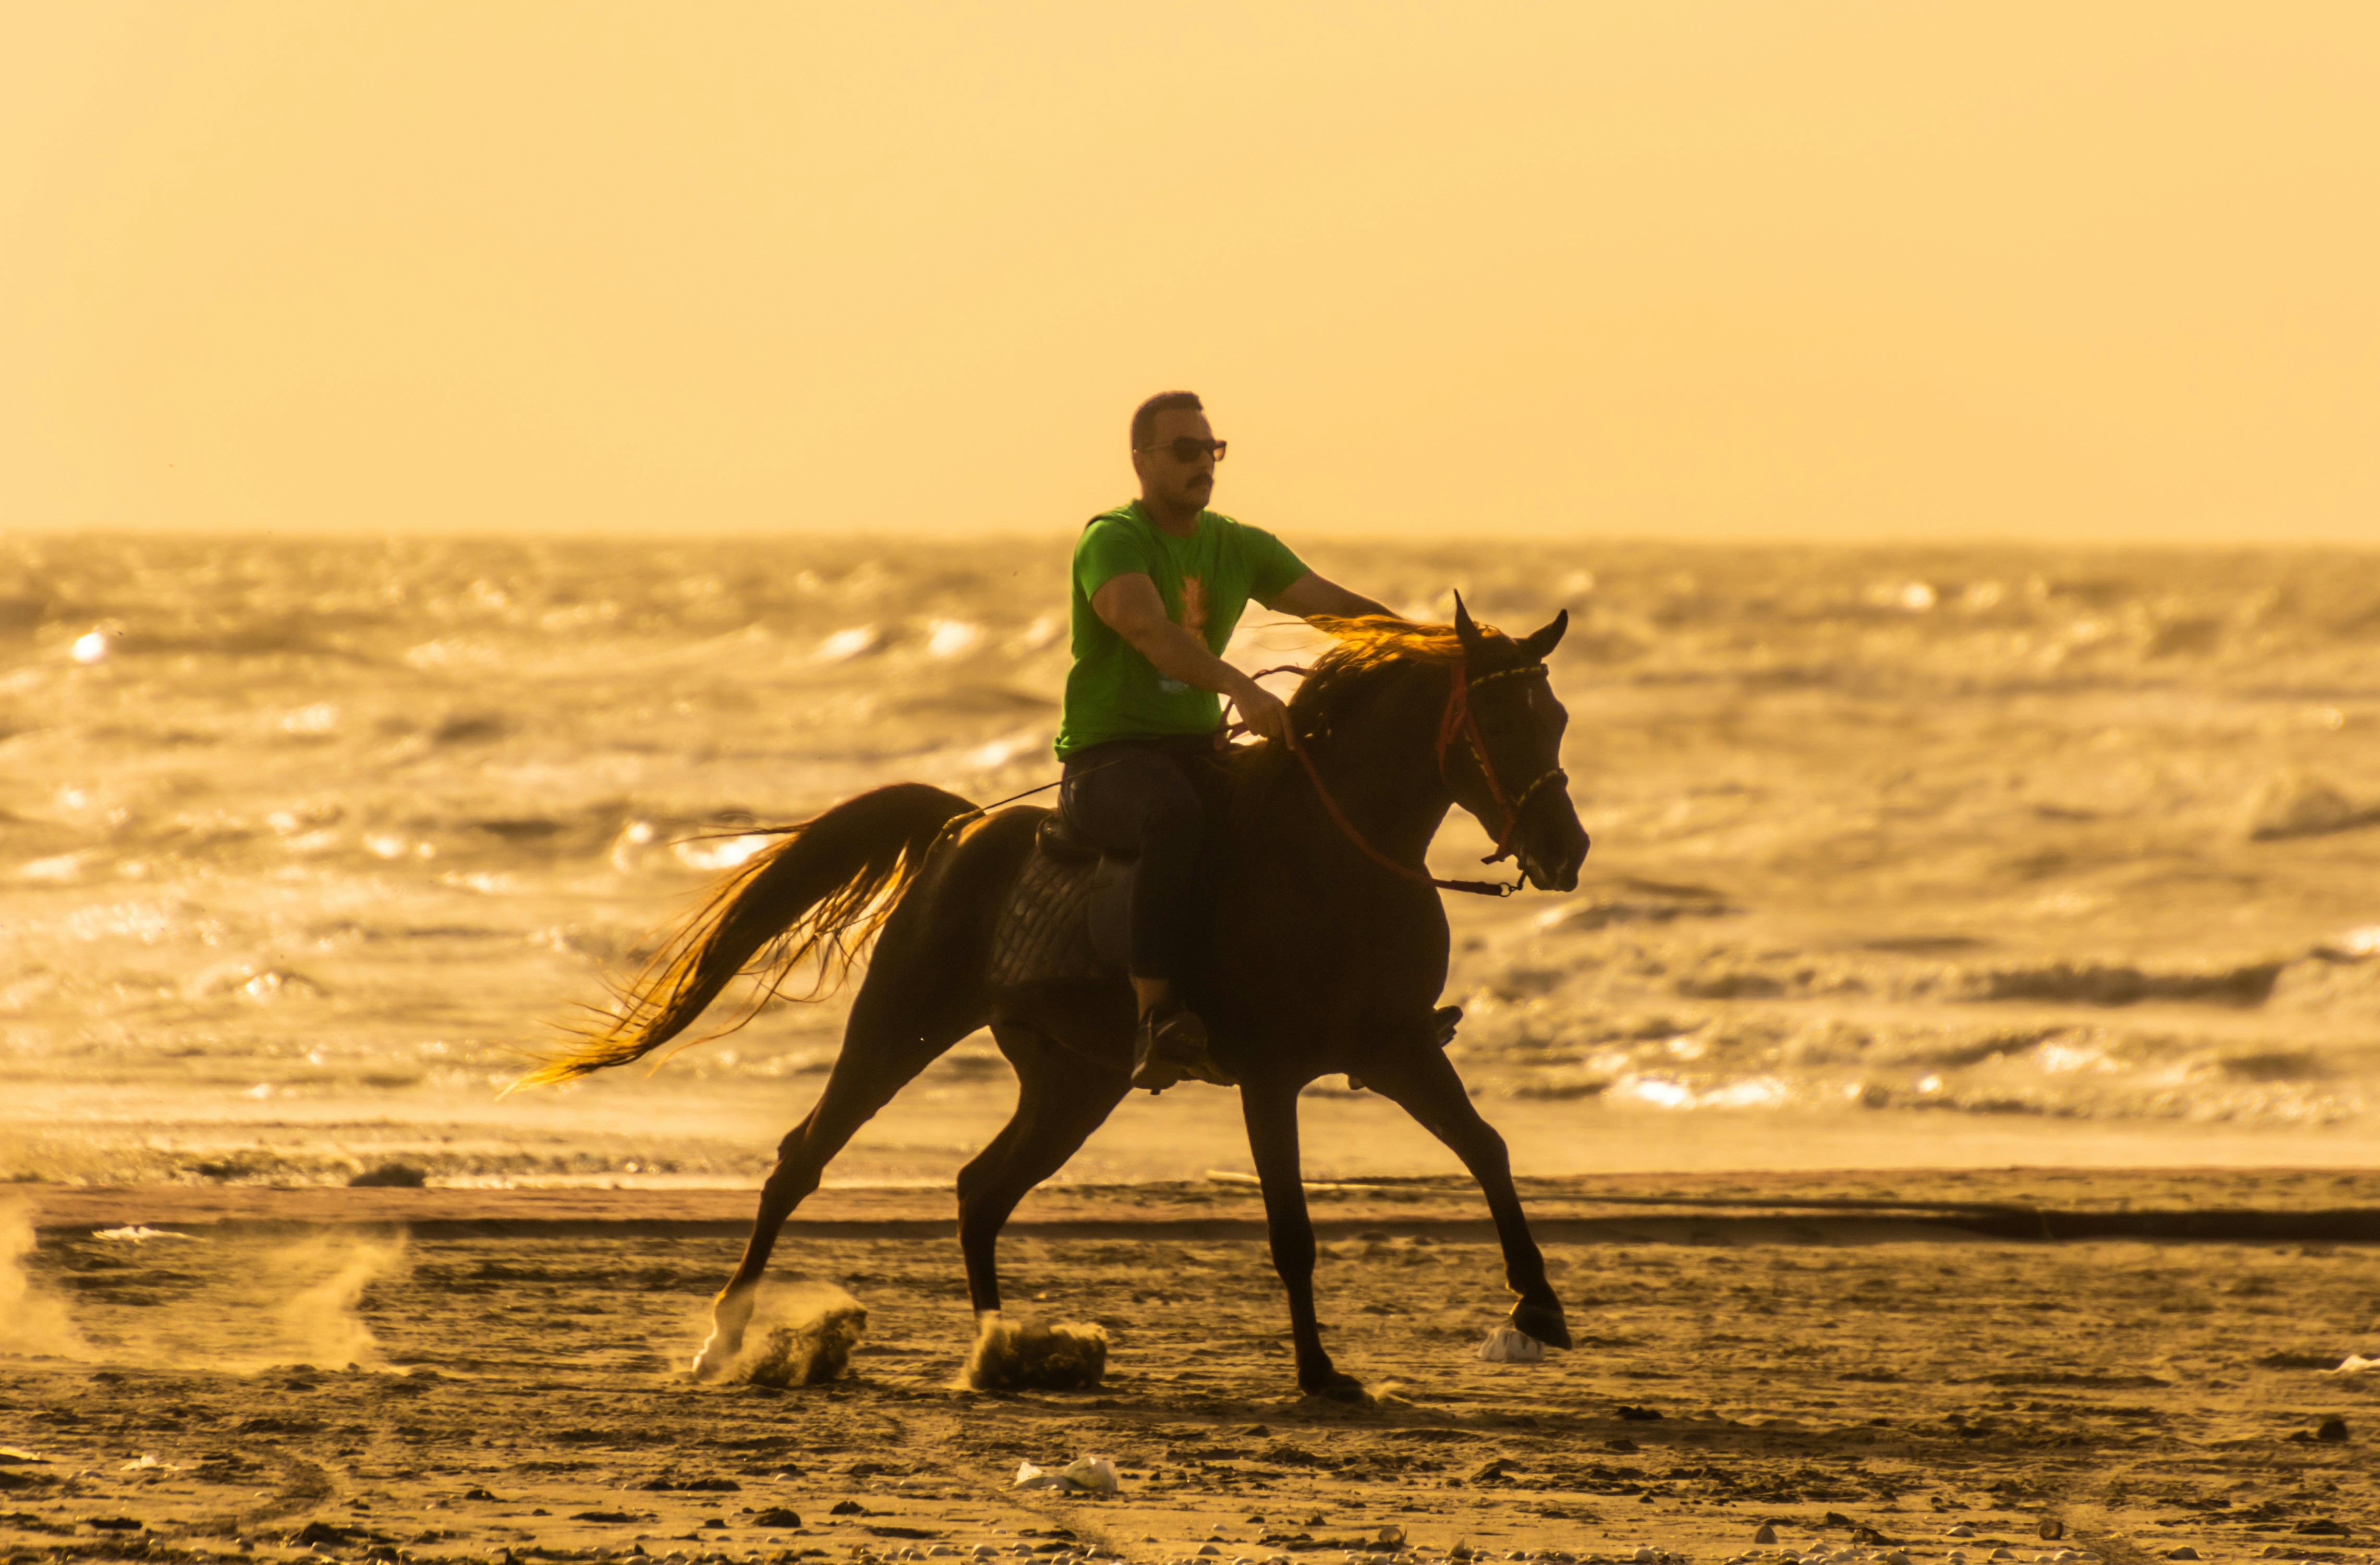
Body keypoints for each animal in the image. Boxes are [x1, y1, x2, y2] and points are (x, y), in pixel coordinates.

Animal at [521, 598, 1591, 1401]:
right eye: (1499, 724)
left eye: (1557, 720)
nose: (1565, 850)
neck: (1338, 858)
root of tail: (959, 831)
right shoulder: (1272, 1076)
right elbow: (1291, 1230)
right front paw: (1320, 1372)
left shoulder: (1397, 1049)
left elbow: (1488, 1150)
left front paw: (1537, 1306)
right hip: (899, 1025)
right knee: (802, 1161)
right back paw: (724, 1340)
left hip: (1073, 1083)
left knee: (979, 1188)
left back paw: (999, 1354)